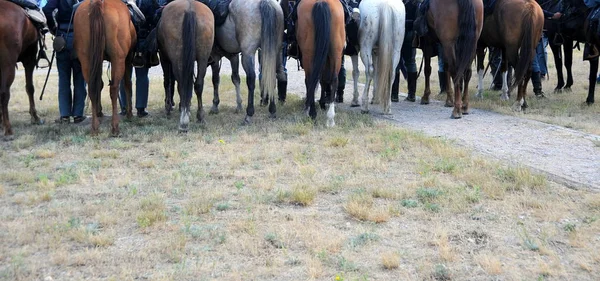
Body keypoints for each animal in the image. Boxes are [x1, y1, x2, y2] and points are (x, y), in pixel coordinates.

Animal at [0, 0, 42, 138]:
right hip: (8, 65)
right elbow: (30, 87)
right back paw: (8, 129)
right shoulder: (29, 58)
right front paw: (35, 116)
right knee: (4, 93)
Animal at [74, 0, 136, 136]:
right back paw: (115, 127)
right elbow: (127, 84)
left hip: (86, 60)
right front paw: (129, 114)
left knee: (92, 88)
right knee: (114, 88)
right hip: (118, 59)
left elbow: (99, 85)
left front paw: (99, 111)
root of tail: (98, 3)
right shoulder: (127, 59)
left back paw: (95, 127)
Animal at [154, 0, 214, 131]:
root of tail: (189, 8)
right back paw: (199, 116)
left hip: (177, 58)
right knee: (198, 84)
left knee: (181, 83)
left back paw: (183, 121)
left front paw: (168, 107)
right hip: (203, 58)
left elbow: (168, 82)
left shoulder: (164, 58)